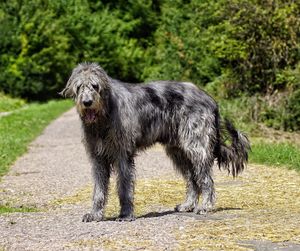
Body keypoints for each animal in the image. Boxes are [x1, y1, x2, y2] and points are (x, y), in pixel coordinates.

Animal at [59, 62, 250, 222]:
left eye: (95, 86)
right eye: (79, 87)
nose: (87, 102)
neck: (104, 116)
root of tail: (210, 100)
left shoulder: (123, 154)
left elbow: (124, 187)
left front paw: (125, 214)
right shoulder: (98, 157)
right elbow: (99, 189)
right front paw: (95, 214)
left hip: (196, 146)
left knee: (205, 179)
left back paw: (205, 206)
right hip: (178, 151)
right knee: (192, 180)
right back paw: (188, 204)